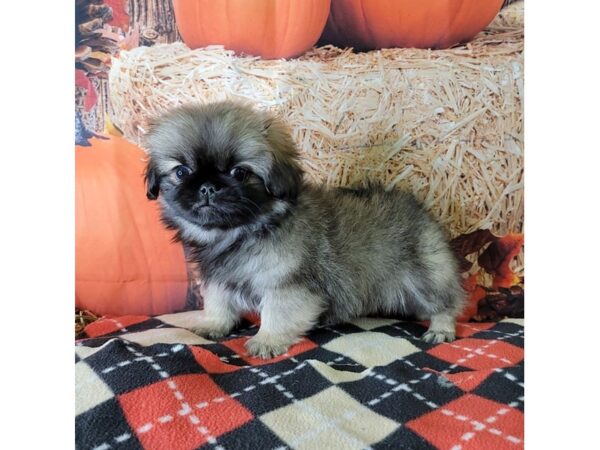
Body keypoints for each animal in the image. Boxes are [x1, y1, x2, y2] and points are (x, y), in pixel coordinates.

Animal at [144, 102, 464, 358]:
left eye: (240, 173)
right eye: (182, 172)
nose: (208, 187)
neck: (239, 233)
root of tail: (420, 210)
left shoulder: (287, 285)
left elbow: (275, 314)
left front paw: (266, 340)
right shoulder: (219, 281)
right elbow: (218, 305)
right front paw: (213, 325)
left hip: (425, 279)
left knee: (446, 304)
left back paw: (441, 329)